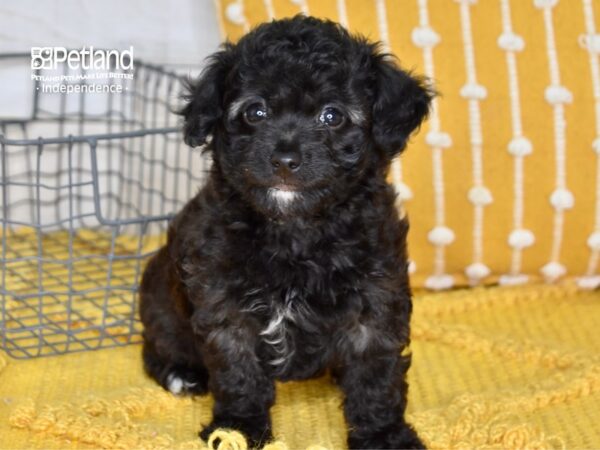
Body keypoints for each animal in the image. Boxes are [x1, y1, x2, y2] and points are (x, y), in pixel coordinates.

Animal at [141, 15, 432, 448]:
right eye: (255, 112)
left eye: (332, 115)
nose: (284, 158)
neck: (296, 231)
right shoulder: (225, 305)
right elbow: (239, 373)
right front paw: (238, 429)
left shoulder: (376, 300)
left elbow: (375, 376)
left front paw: (384, 435)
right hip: (158, 304)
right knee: (155, 345)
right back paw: (181, 373)